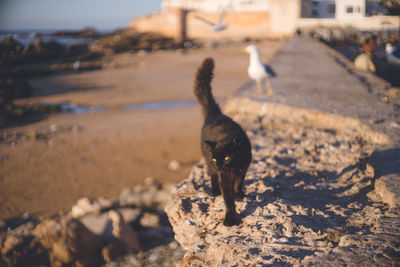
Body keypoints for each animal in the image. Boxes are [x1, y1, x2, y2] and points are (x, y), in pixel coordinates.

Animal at [193, 57, 252, 227]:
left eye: (226, 157)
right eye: (215, 159)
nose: (219, 165)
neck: (234, 165)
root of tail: (215, 113)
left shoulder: (243, 168)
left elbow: (239, 183)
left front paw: (239, 193)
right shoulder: (224, 176)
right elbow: (228, 199)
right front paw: (230, 218)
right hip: (208, 161)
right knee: (211, 174)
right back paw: (214, 191)